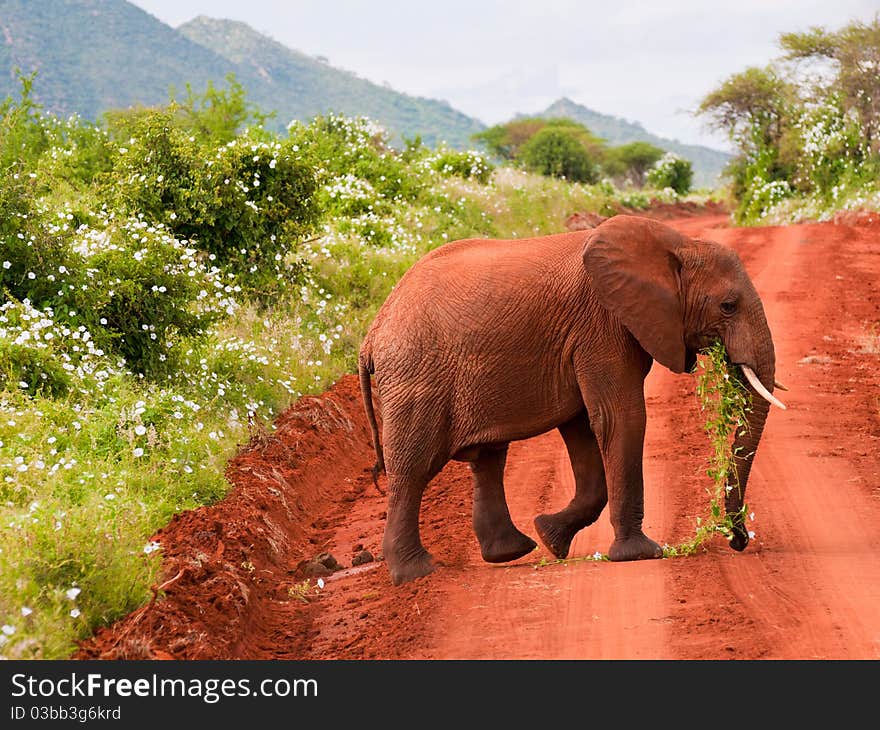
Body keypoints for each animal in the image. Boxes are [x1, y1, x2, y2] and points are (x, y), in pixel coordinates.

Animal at [358, 213, 784, 584]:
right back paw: (417, 574)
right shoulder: (603, 326)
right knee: (412, 468)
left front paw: (550, 537)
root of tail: (372, 332)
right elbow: (620, 418)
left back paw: (512, 551)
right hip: (416, 377)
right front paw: (641, 554)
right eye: (728, 306)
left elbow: (584, 428)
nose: (737, 541)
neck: (678, 244)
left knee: (488, 459)